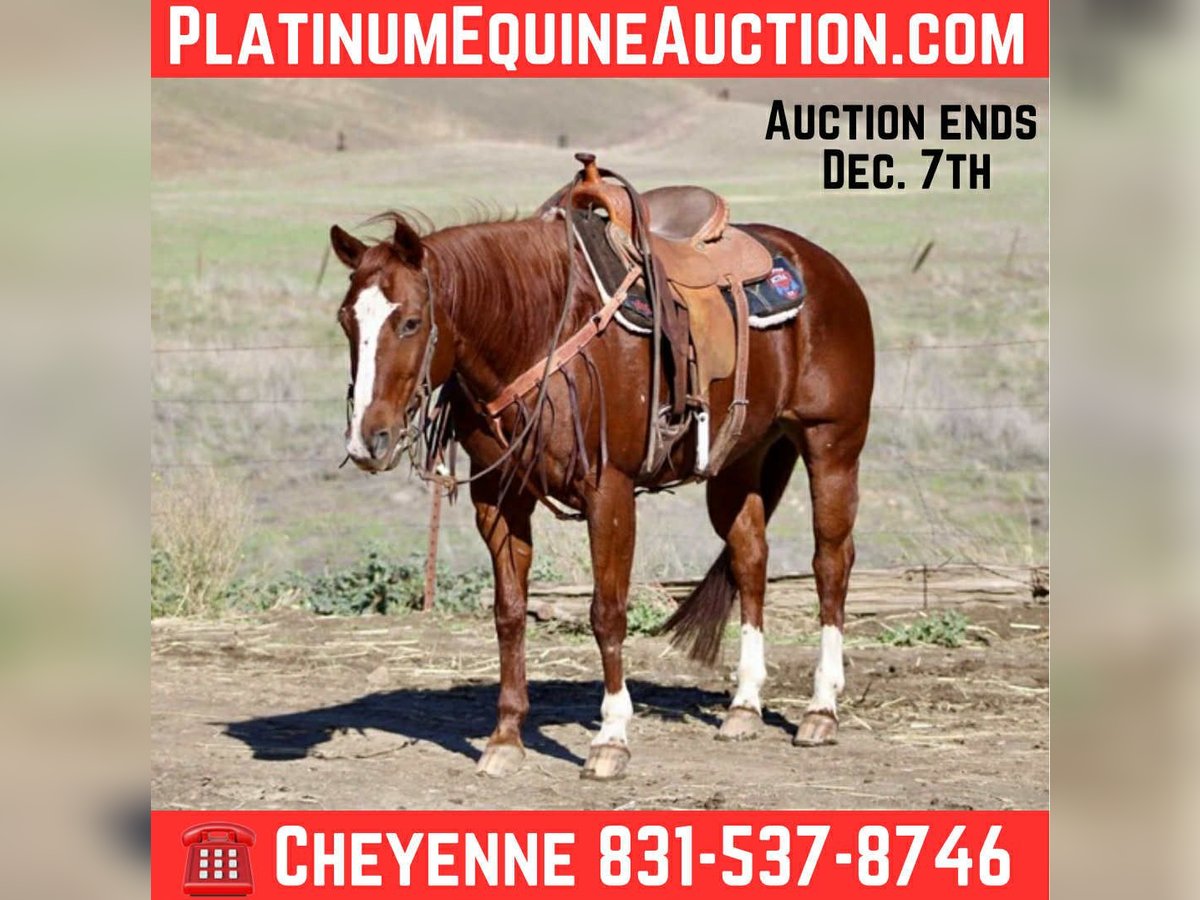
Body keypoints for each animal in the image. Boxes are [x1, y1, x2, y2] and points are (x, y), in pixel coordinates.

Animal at [329, 189, 874, 780]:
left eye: (410, 322)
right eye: (345, 320)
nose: (368, 440)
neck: (537, 331)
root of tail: (825, 267)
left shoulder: (608, 493)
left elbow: (607, 613)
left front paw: (611, 737)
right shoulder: (498, 497)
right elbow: (509, 612)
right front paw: (505, 737)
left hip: (831, 447)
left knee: (831, 564)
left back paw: (821, 709)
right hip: (738, 462)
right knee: (750, 561)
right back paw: (744, 707)